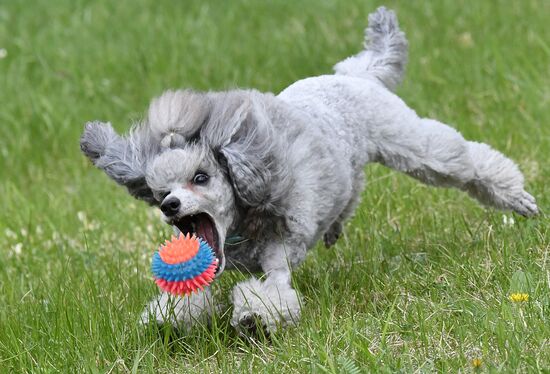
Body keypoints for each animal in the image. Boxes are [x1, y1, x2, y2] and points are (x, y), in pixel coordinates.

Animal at [81, 6, 540, 334]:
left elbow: (273, 290)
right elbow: (192, 291)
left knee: (461, 161)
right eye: (160, 191)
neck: (243, 223)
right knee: (352, 188)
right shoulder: (213, 261)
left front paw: (253, 318)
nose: (171, 206)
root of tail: (357, 73)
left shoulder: (280, 249)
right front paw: (167, 319)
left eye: (201, 178)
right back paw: (335, 226)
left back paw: (517, 198)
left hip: (411, 141)